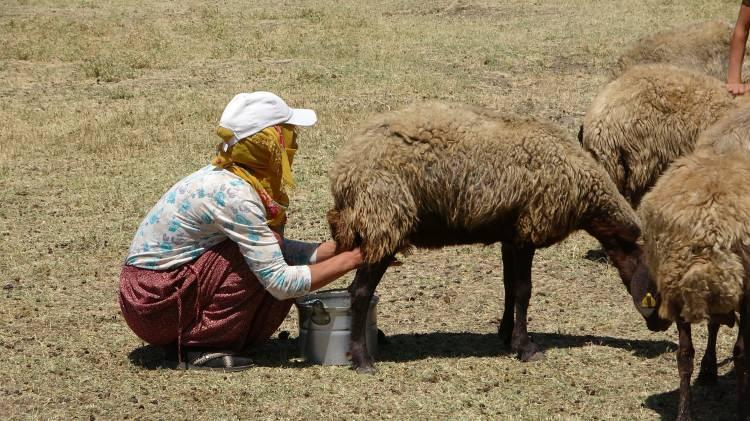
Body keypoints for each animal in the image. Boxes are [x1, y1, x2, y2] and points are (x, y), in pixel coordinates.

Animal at [328, 101, 668, 370]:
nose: (662, 326)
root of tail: (345, 172)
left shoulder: (511, 234)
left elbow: (509, 288)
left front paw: (506, 336)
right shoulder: (529, 230)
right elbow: (524, 290)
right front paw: (526, 347)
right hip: (385, 220)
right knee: (359, 292)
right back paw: (362, 360)